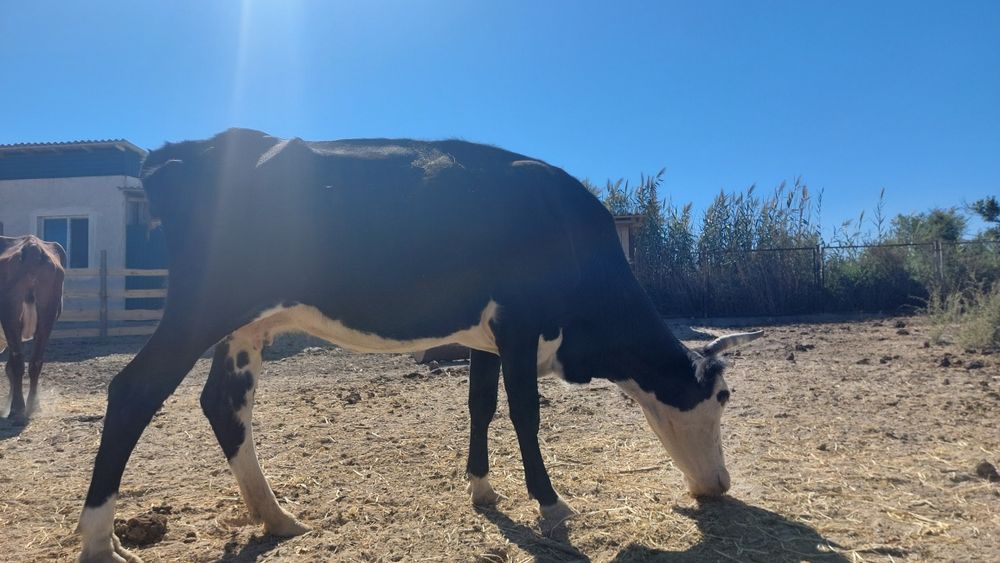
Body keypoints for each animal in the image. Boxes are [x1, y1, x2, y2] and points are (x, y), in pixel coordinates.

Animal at [0, 235, 65, 421]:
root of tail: (31, 246)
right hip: (47, 315)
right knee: (35, 361)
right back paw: (32, 406)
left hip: (11, 315)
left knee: (17, 363)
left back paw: (17, 407)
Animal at [77, 129, 762, 562]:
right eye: (723, 397)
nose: (722, 485)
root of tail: (185, 151)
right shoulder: (519, 321)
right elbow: (526, 412)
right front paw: (550, 503)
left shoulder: (488, 334)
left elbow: (482, 405)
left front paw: (483, 489)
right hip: (204, 304)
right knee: (133, 390)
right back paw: (100, 543)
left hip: (245, 325)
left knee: (224, 403)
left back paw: (276, 517)